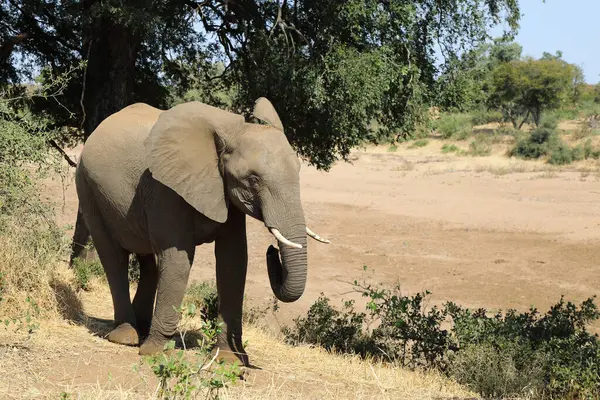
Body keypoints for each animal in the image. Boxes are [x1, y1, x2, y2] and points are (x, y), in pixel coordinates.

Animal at [75, 97, 330, 366]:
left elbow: (233, 261)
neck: (231, 132)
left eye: (299, 171)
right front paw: (155, 352)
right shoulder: (164, 187)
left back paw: (141, 330)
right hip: (87, 186)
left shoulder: (224, 190)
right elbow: (178, 259)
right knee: (113, 257)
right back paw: (127, 337)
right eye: (253, 180)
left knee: (149, 261)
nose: (272, 251)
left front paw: (228, 360)